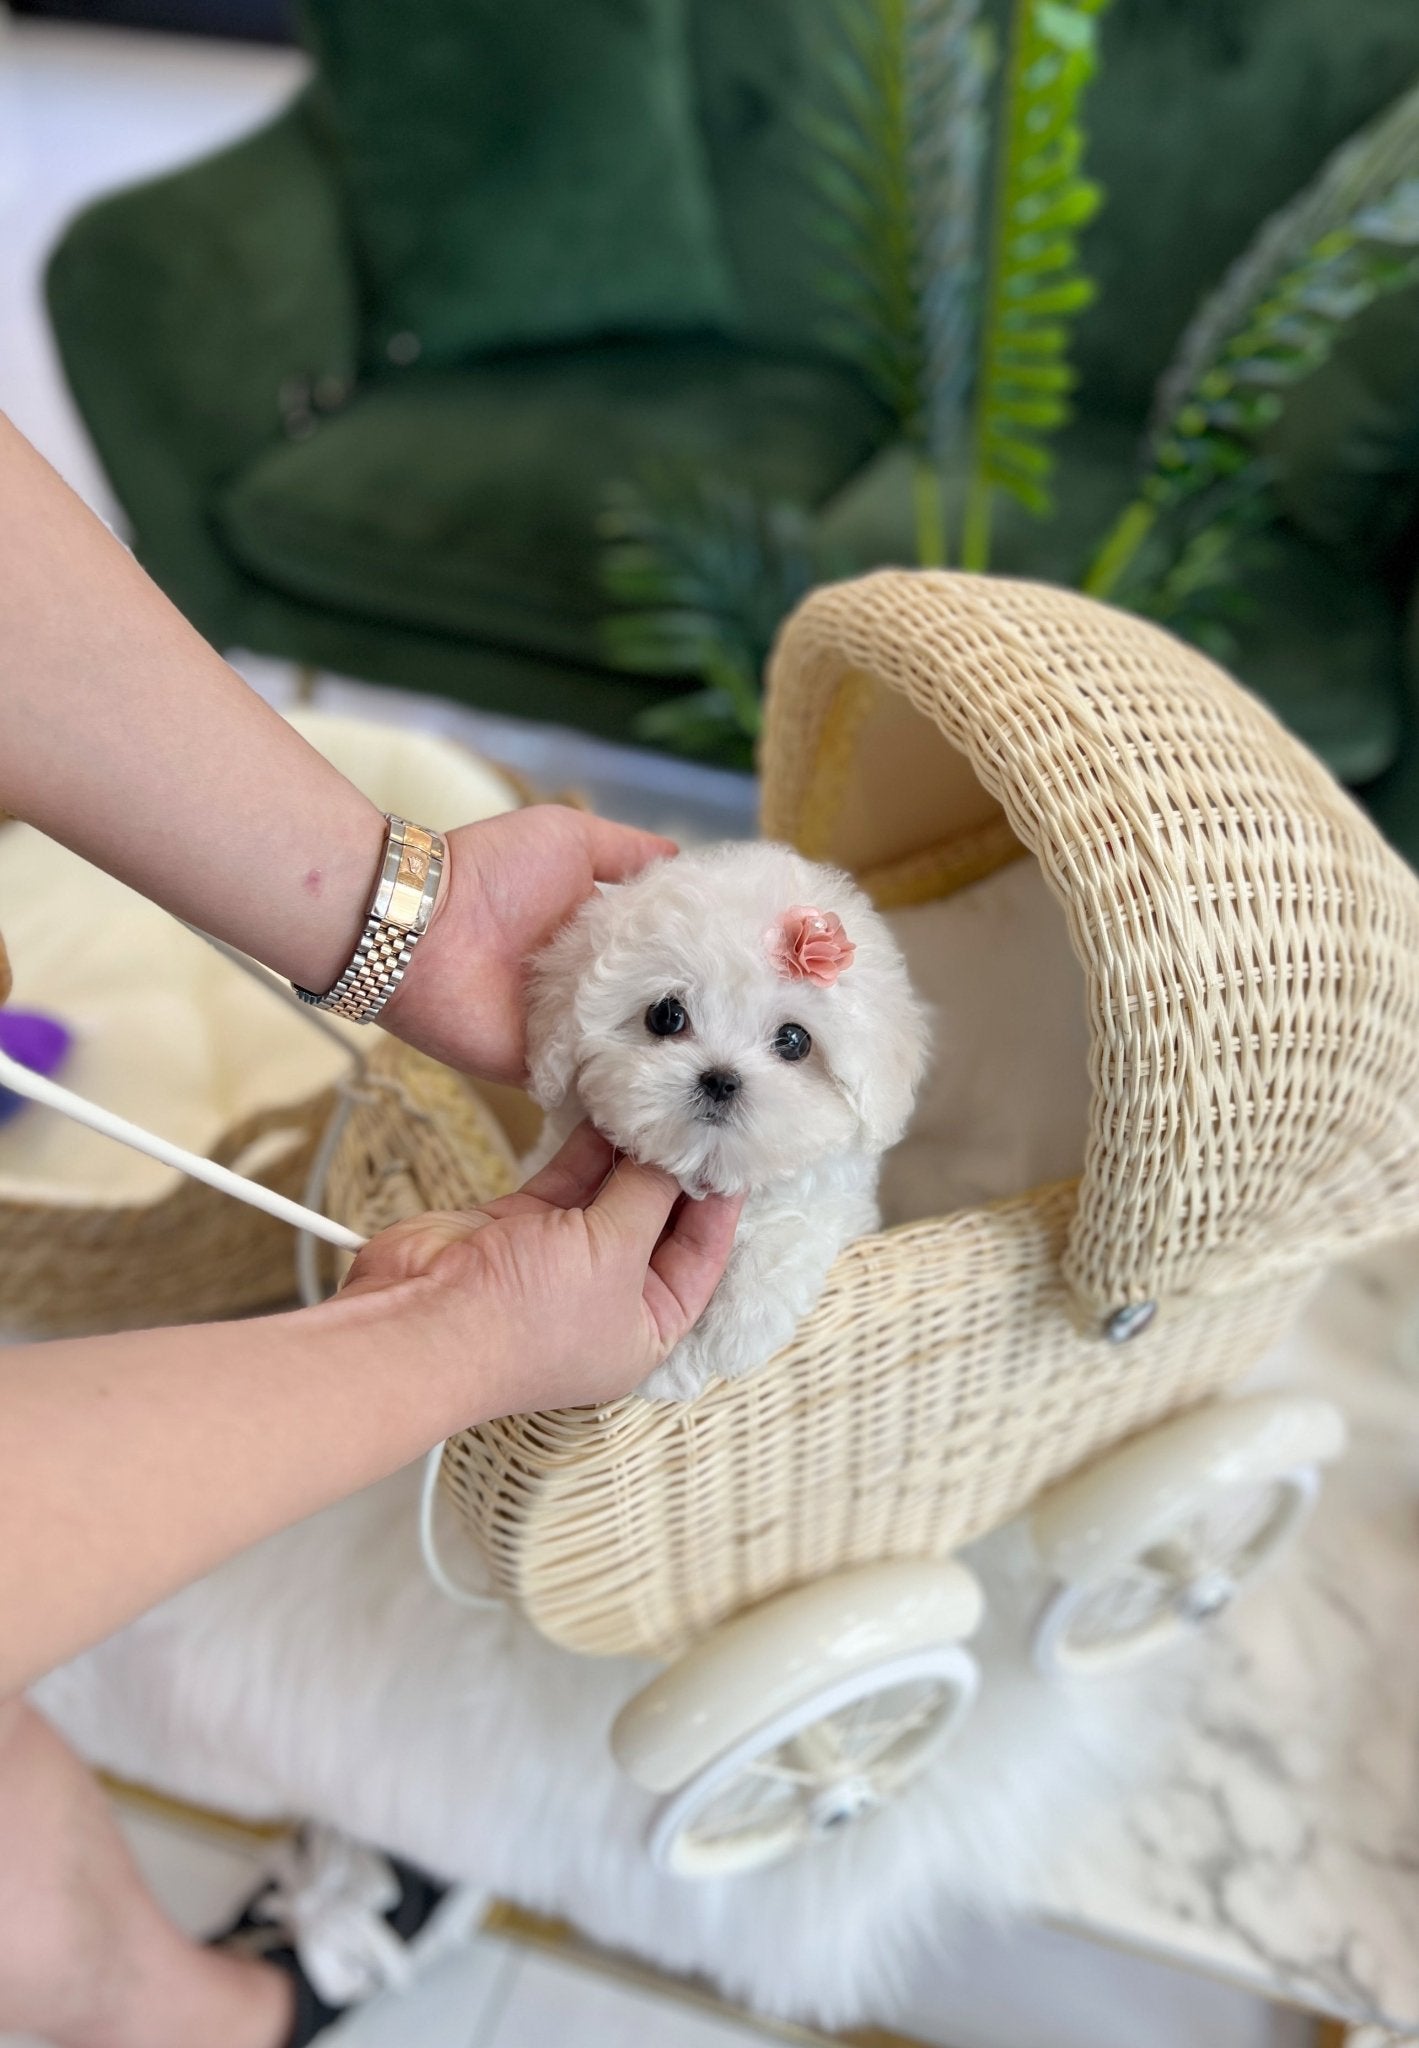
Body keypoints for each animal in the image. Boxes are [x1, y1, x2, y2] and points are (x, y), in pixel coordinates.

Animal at [520, 839, 929, 1400]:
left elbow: (791, 1233)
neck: (710, 1170)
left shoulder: (833, 1204)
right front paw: (669, 1366)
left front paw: (736, 1330)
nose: (720, 1079)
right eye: (665, 1015)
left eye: (795, 1040)